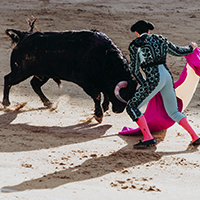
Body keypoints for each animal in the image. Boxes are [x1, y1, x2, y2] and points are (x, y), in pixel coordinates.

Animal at [3, 21, 138, 122]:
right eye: (124, 93)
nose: (118, 110)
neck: (104, 58)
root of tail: (24, 35)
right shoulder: (87, 83)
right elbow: (97, 96)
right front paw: (99, 115)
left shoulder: (103, 83)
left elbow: (106, 93)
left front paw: (104, 108)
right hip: (21, 71)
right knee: (8, 79)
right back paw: (6, 102)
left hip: (43, 74)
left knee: (34, 84)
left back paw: (48, 103)